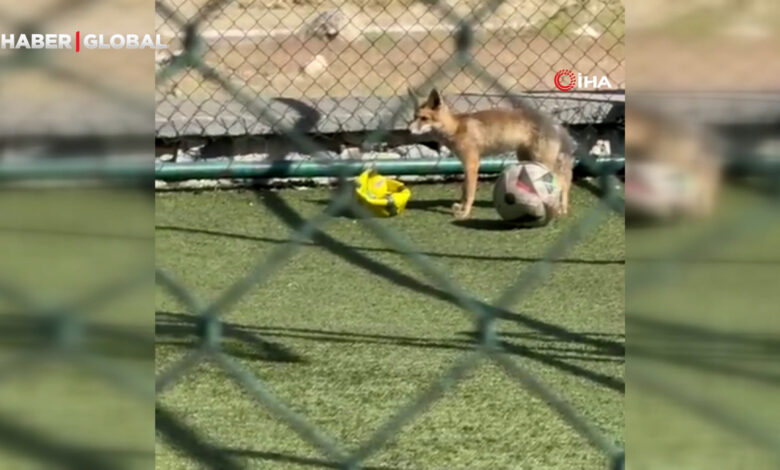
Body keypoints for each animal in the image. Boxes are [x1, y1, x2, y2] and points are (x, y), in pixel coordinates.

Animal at [408, 88, 572, 220]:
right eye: (414, 117)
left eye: (424, 118)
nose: (409, 130)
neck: (456, 128)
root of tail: (554, 122)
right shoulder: (465, 165)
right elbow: (464, 190)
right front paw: (461, 207)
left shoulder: (472, 164)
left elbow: (469, 193)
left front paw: (465, 213)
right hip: (527, 158)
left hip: (542, 160)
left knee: (563, 182)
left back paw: (561, 209)